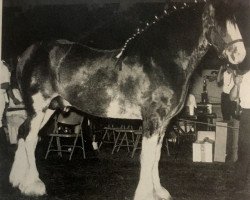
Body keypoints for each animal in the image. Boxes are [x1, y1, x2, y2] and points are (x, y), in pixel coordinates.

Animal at [9, 0, 246, 199]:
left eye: (235, 19)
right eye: (218, 21)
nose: (240, 55)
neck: (162, 60)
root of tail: (26, 54)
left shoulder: (163, 122)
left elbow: (156, 156)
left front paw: (160, 191)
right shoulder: (152, 119)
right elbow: (147, 157)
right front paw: (145, 194)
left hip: (48, 109)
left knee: (23, 132)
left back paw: (17, 180)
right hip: (38, 107)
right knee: (30, 138)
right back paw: (33, 185)